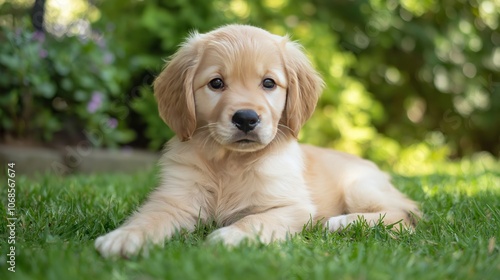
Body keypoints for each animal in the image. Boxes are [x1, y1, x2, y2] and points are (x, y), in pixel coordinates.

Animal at [94, 24, 418, 258]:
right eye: (216, 83)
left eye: (269, 83)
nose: (246, 118)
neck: (230, 163)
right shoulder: (175, 198)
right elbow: (149, 217)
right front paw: (124, 237)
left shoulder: (292, 207)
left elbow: (255, 220)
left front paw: (230, 235)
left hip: (358, 186)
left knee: (406, 217)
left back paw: (342, 222)